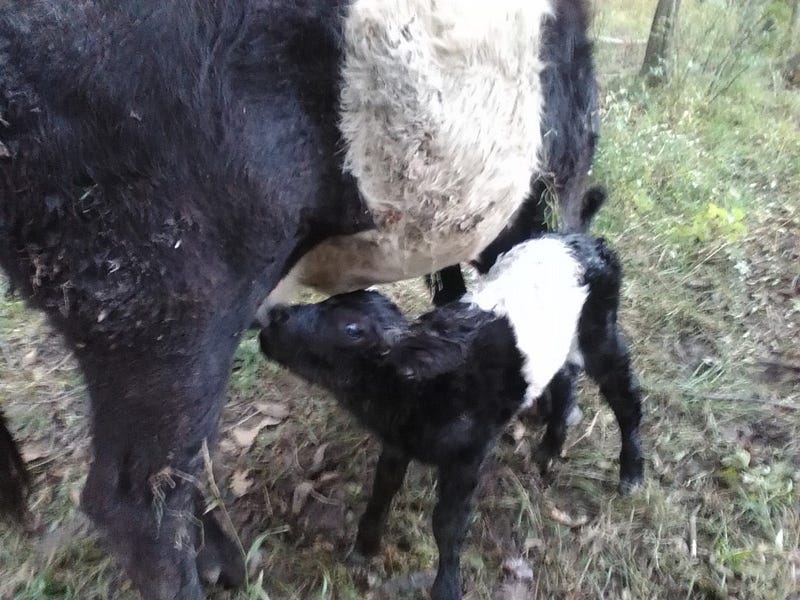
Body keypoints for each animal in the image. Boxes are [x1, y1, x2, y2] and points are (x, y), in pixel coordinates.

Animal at [260, 233, 648, 600]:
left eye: (352, 329)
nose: (275, 316)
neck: (421, 389)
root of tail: (585, 243)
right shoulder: (398, 442)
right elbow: (382, 490)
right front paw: (363, 547)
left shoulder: (468, 456)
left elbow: (447, 523)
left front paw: (446, 585)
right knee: (565, 378)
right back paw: (549, 449)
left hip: (599, 331)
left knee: (625, 396)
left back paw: (631, 472)